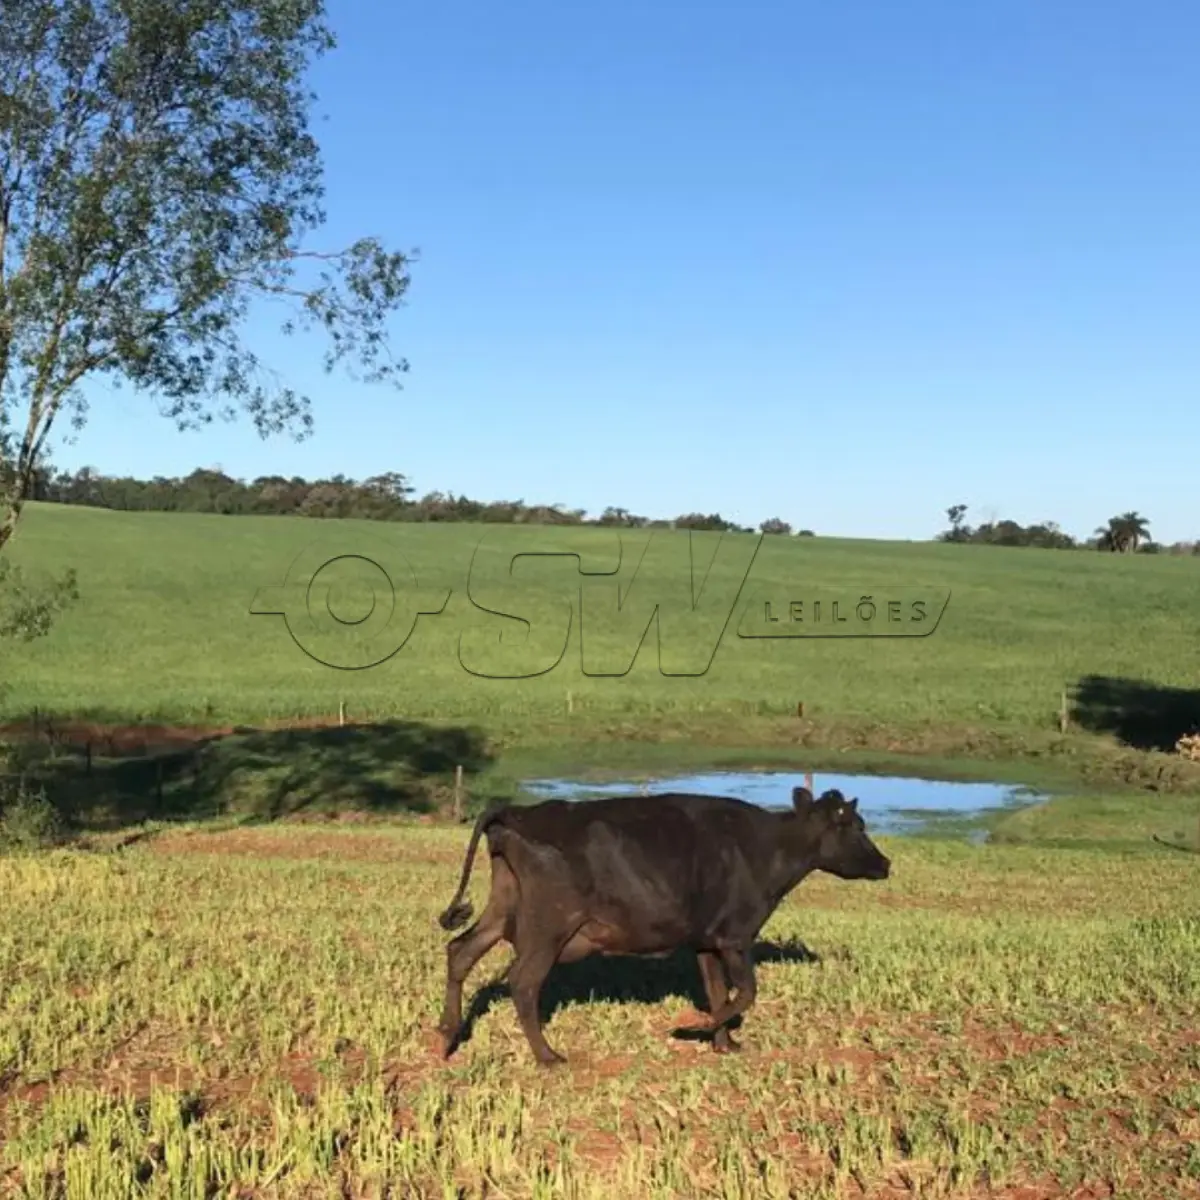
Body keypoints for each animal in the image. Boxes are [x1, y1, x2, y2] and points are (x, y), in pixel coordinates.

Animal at [435, 785, 891, 1066]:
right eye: (856, 826)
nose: (885, 863)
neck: (768, 848)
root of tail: (519, 811)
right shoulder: (735, 936)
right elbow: (746, 992)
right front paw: (696, 1028)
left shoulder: (706, 940)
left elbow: (718, 991)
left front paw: (724, 1043)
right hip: (550, 926)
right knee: (523, 982)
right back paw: (547, 1056)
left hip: (502, 909)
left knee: (460, 951)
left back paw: (448, 1032)